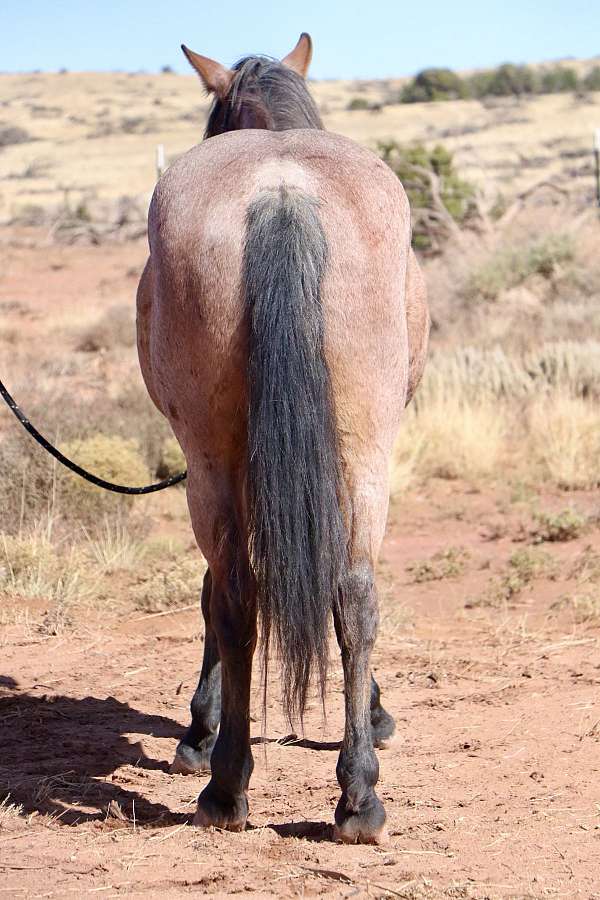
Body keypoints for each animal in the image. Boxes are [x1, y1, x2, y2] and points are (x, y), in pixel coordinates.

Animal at [137, 29, 426, 844]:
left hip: (220, 463)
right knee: (345, 591)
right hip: (355, 452)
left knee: (247, 592)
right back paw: (343, 795)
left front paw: (199, 732)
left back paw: (238, 785)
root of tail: (282, 191)